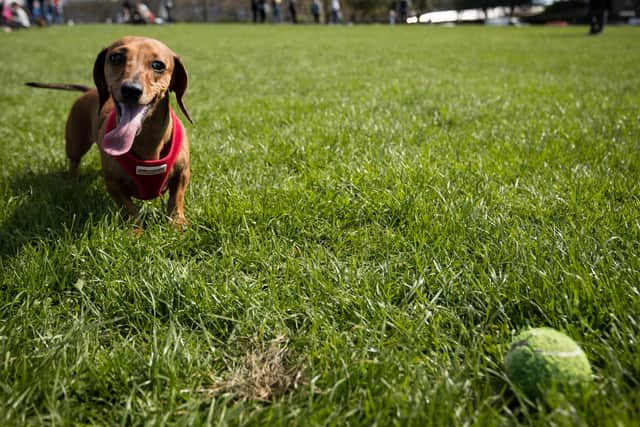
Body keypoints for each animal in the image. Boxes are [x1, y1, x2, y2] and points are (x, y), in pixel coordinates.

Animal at [26, 36, 192, 227]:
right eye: (116, 57)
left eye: (158, 65)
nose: (131, 90)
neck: (147, 142)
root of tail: (90, 90)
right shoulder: (113, 184)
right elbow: (130, 208)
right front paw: (136, 229)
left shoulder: (182, 174)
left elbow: (176, 200)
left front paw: (177, 224)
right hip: (75, 144)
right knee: (74, 162)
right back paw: (73, 182)